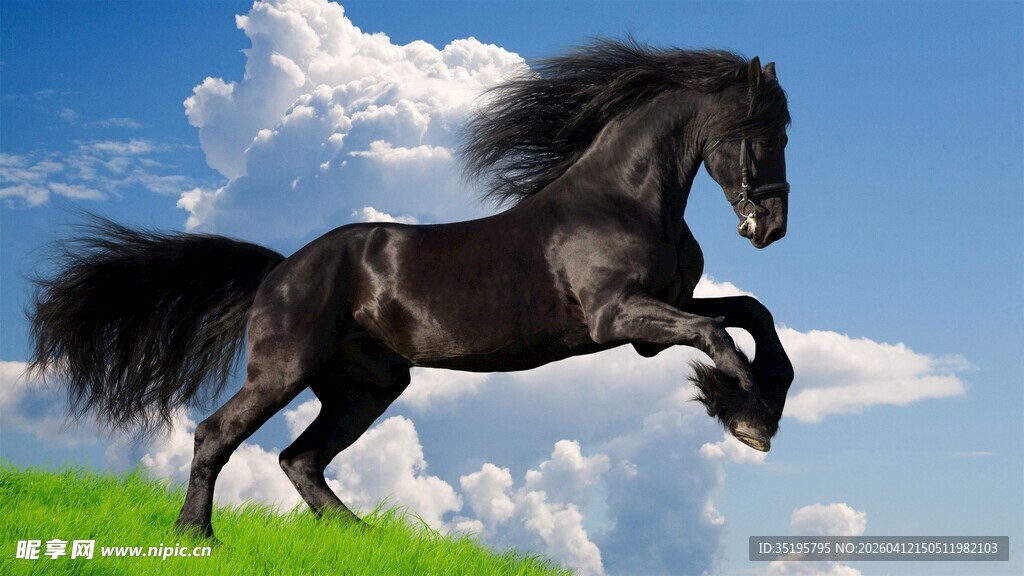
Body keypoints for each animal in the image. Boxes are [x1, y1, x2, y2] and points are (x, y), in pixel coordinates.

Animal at [29, 39, 794, 538]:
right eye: (763, 136)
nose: (772, 228)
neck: (623, 201)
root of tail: (278, 271)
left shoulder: (653, 320)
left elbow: (752, 316)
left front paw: (761, 402)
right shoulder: (618, 319)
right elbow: (719, 333)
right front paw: (749, 420)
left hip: (367, 385)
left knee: (300, 458)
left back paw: (360, 535)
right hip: (285, 369)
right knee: (217, 433)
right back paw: (195, 535)